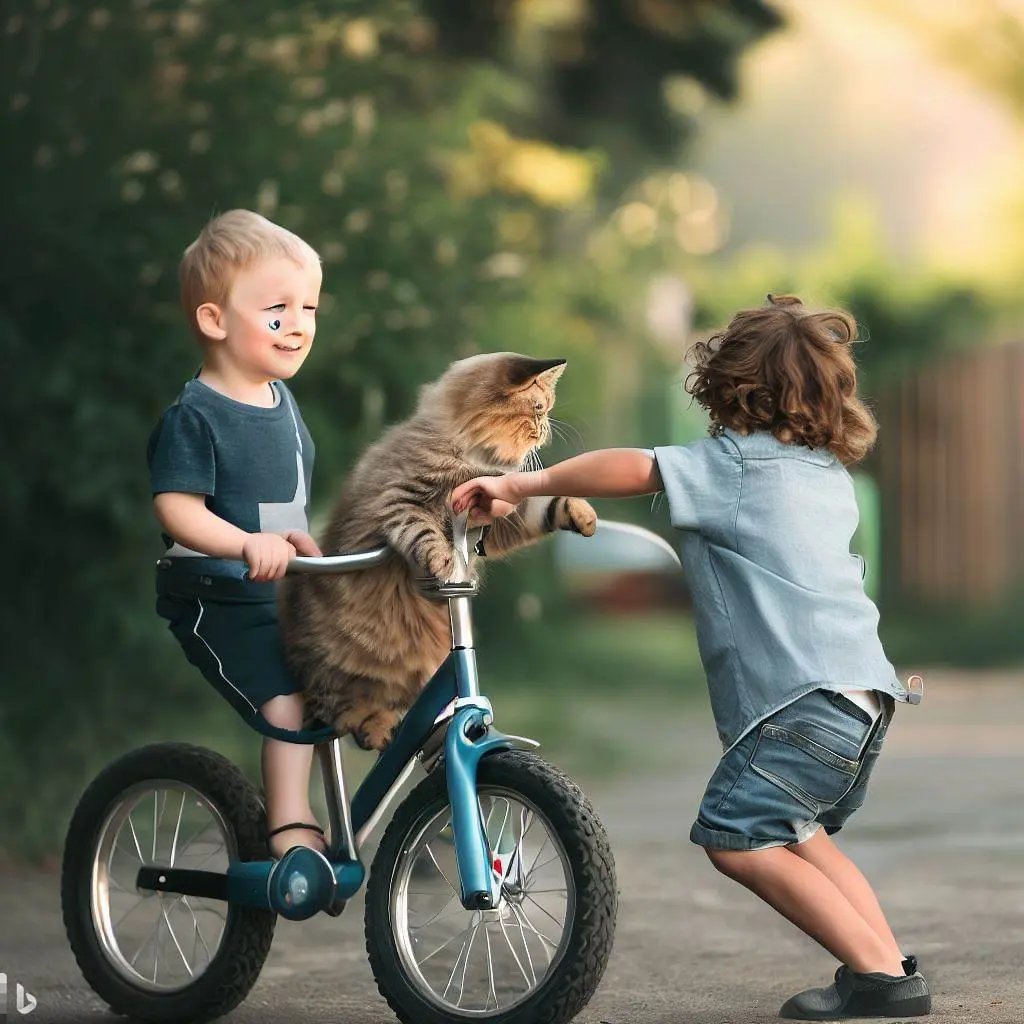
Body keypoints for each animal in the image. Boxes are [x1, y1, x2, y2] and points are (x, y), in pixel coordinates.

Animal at [280, 352, 598, 753]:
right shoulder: (400, 500)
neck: (467, 452)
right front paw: (443, 559)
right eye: (539, 409)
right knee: (342, 708)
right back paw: (373, 728)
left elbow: (547, 504)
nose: (545, 432)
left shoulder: (495, 522)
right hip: (330, 667)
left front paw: (584, 514)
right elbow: (423, 532)